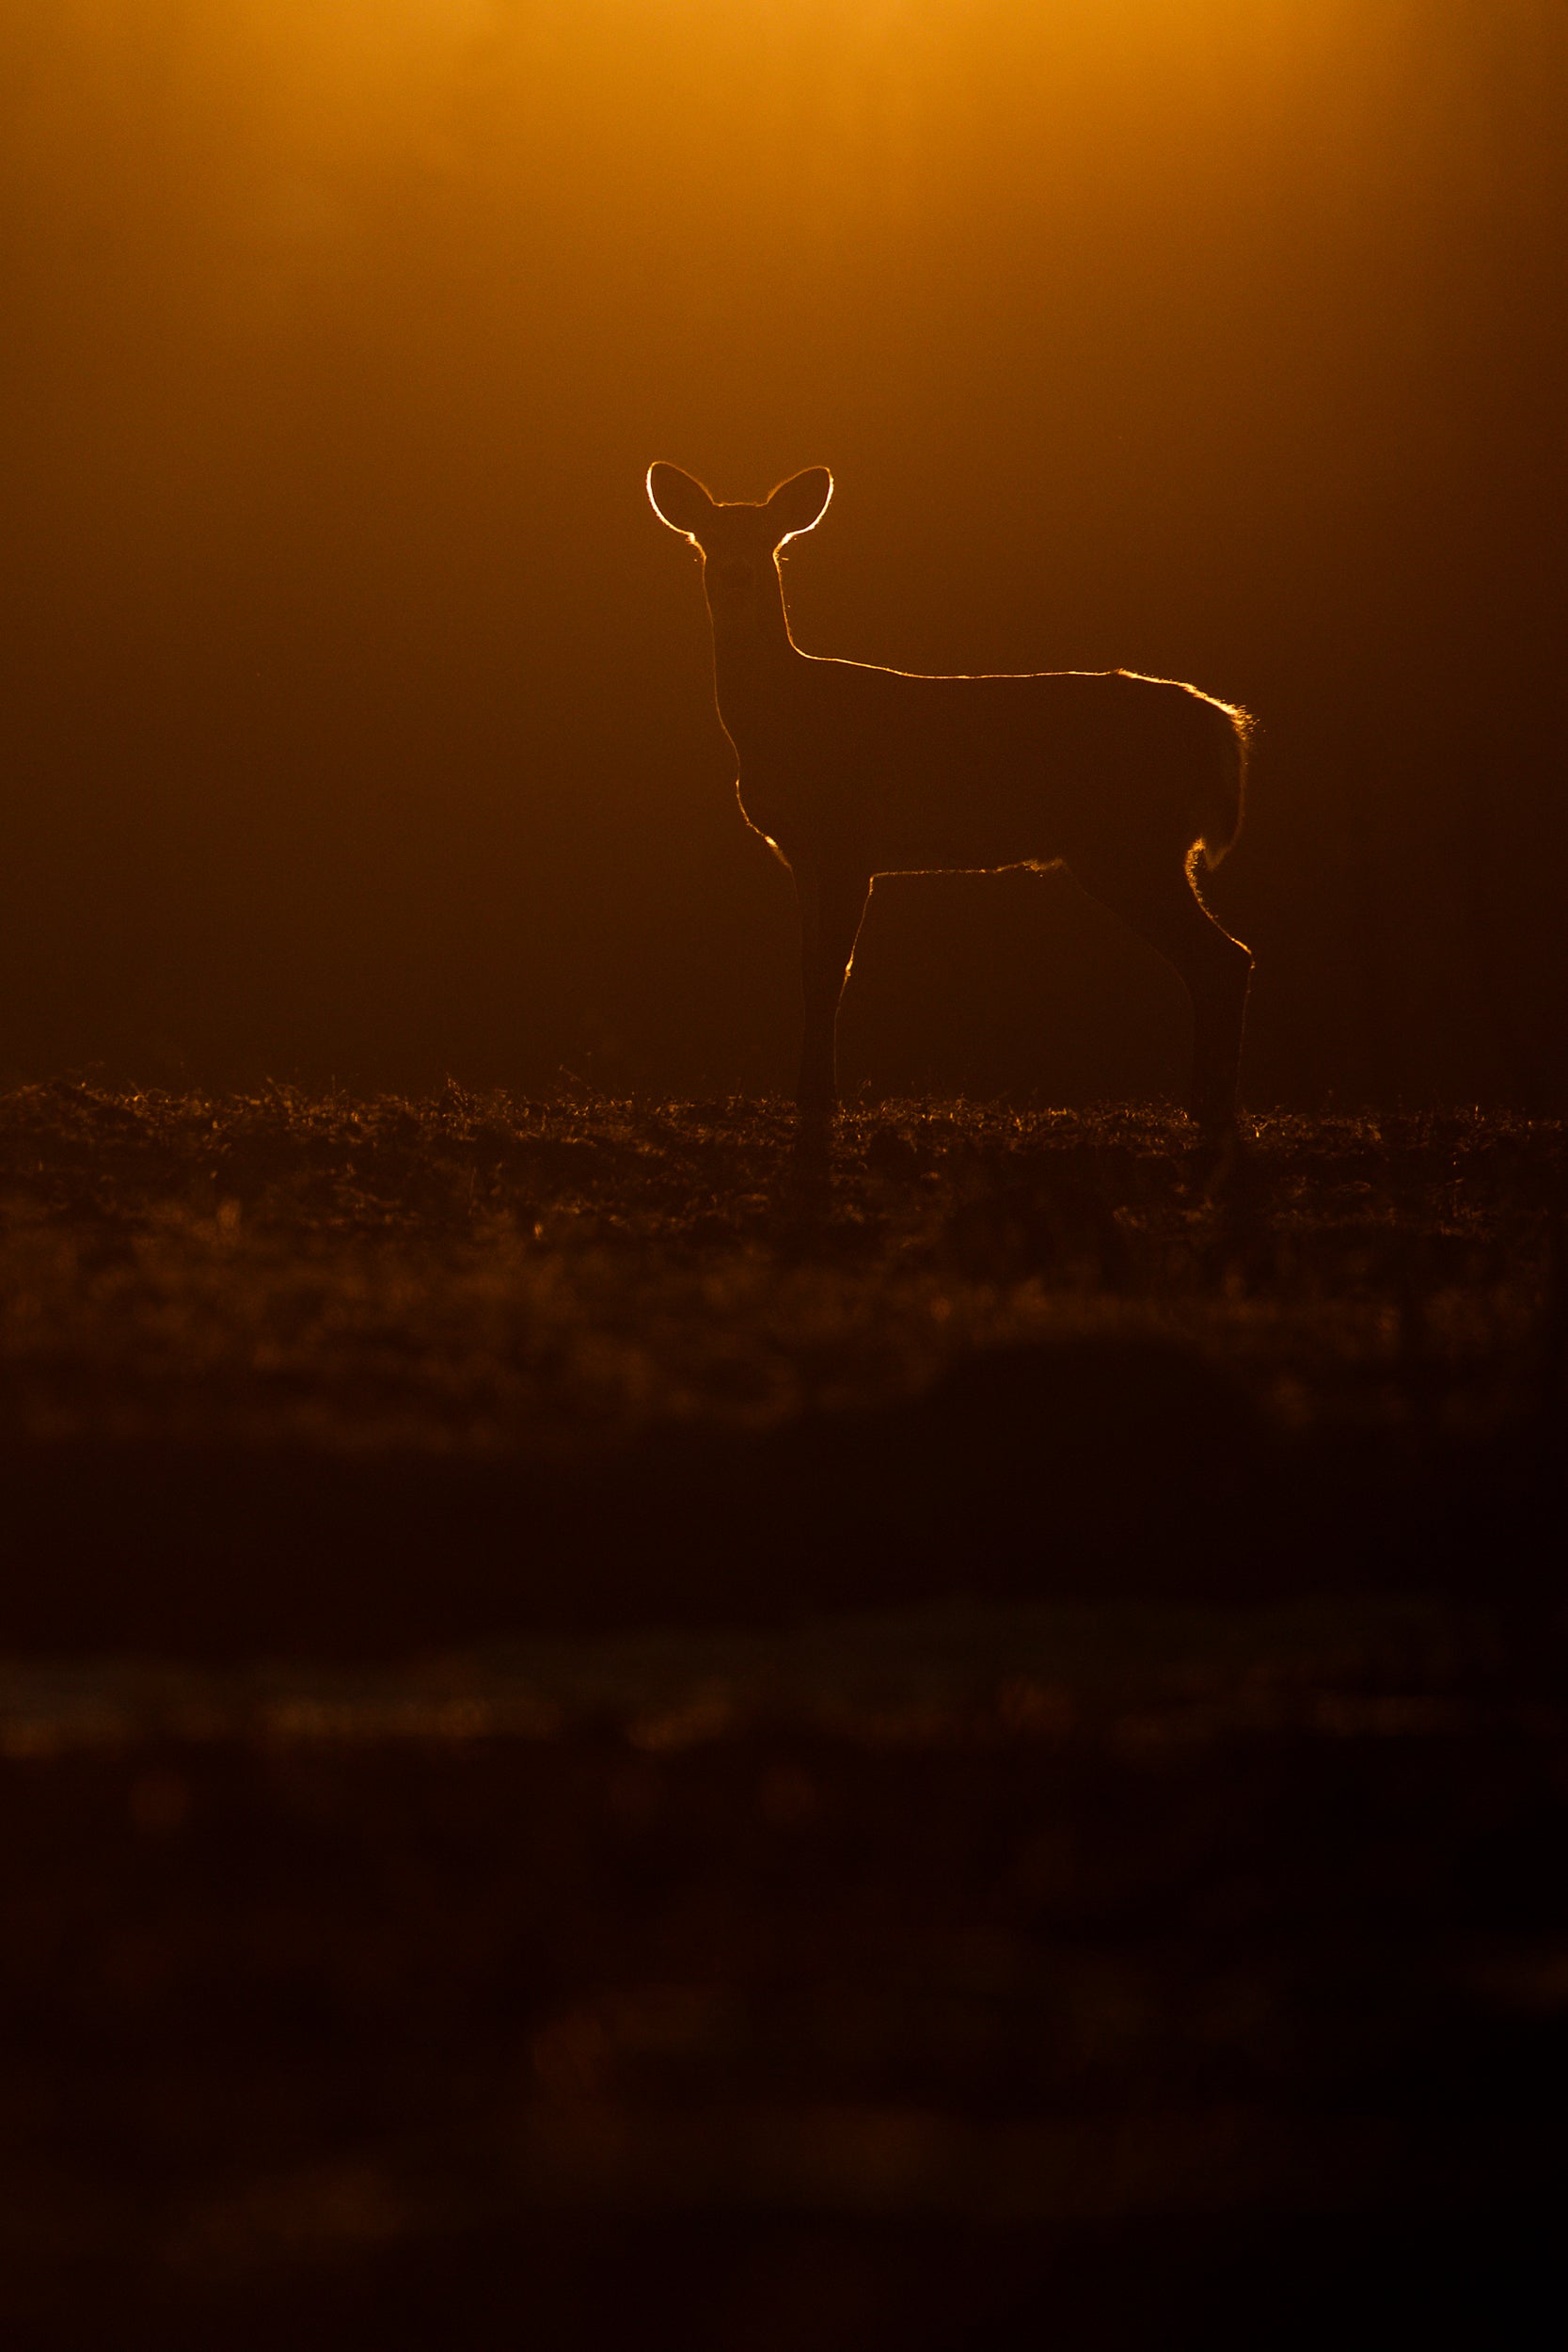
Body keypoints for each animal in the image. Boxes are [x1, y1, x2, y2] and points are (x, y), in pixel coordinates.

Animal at [647, 463, 1254, 1134]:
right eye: (705, 541)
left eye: (769, 542)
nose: (736, 573)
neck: (783, 716)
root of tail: (1223, 728)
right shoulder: (810, 855)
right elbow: (814, 969)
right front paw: (810, 1090)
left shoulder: (845, 843)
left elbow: (830, 971)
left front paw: (818, 1095)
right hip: (1142, 846)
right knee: (1219, 960)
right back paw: (1205, 1100)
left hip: (1131, 842)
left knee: (1224, 958)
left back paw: (1211, 1104)